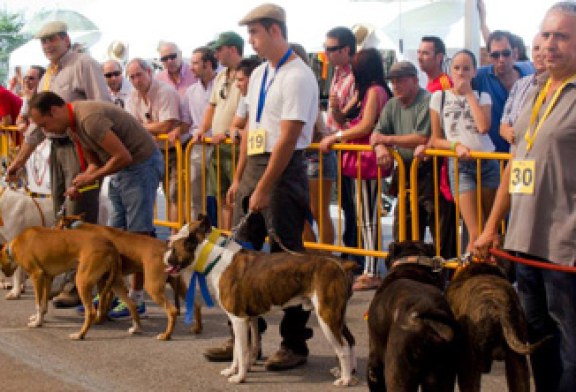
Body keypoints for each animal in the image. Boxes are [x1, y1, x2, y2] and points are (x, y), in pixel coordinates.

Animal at [0, 227, 140, 340]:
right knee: (132, 304)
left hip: (82, 281)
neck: (14, 246)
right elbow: (43, 305)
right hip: (115, 282)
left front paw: (37, 323)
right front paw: (39, 319)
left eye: (0, 267)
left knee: (91, 312)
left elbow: (38, 304)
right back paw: (135, 328)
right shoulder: (48, 278)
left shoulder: (37, 276)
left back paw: (79, 335)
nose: (7, 275)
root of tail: (110, 246)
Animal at [164, 214, 358, 386]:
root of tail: (340, 264)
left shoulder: (239, 320)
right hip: (335, 315)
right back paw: (346, 371)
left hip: (327, 317)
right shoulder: (245, 320)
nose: (165, 248)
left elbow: (242, 351)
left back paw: (345, 379)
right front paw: (232, 370)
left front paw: (240, 377)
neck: (217, 256)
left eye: (174, 247)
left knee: (342, 348)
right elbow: (238, 350)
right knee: (349, 341)